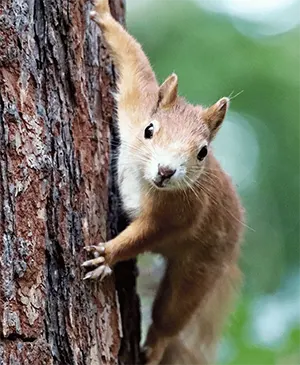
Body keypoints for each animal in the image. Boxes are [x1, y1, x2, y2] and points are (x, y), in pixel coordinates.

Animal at [81, 0, 244, 364]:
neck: (145, 181)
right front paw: (104, 14)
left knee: (171, 316)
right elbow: (134, 62)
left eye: (202, 152)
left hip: (200, 268)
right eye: (149, 130)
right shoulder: (136, 106)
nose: (166, 171)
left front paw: (108, 254)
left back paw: (154, 347)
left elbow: (147, 233)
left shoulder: (182, 211)